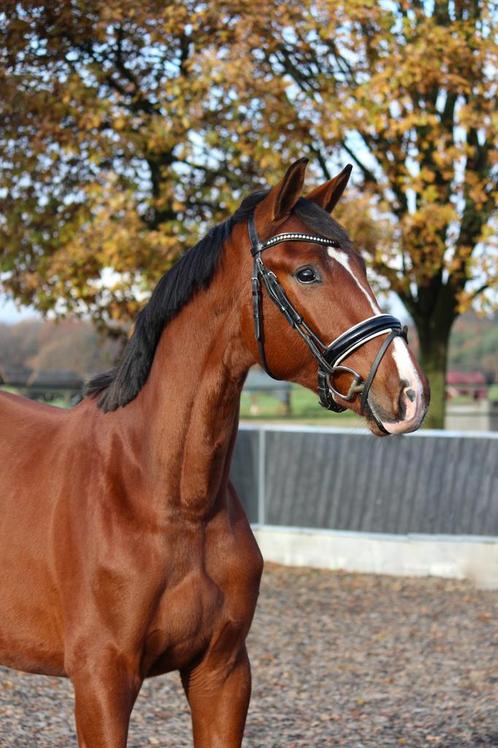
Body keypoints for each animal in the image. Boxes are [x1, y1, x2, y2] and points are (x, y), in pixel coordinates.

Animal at [0, 159, 428, 748]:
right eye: (307, 274)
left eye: (362, 265)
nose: (409, 393)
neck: (170, 501)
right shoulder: (100, 681)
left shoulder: (221, 673)